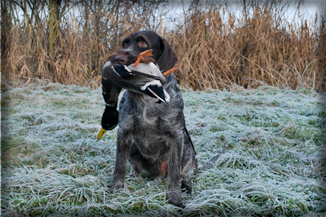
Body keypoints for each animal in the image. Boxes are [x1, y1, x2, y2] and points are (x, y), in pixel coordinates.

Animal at [99, 30, 196, 207]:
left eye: (143, 43)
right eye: (125, 43)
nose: (118, 58)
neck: (148, 99)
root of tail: (158, 173)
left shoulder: (176, 137)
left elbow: (174, 173)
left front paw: (175, 199)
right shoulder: (124, 133)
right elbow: (119, 166)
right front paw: (115, 188)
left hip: (188, 148)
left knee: (183, 174)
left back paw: (185, 185)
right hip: (133, 148)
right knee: (136, 169)